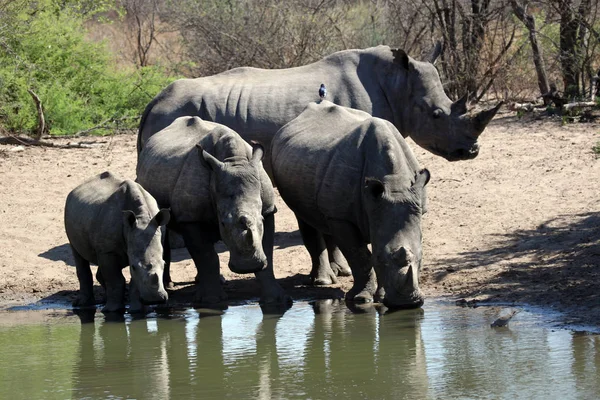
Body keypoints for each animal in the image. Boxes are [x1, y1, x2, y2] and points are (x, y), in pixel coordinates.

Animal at [64, 171, 170, 312]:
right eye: (134, 267)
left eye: (164, 264)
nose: (155, 300)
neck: (142, 219)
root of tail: (77, 188)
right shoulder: (108, 251)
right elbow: (115, 280)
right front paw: (112, 310)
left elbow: (133, 282)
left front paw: (137, 310)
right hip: (69, 211)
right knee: (77, 253)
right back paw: (82, 304)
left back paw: (105, 299)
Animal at [136, 116, 290, 306]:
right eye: (222, 224)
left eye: (260, 220)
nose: (248, 266)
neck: (234, 161)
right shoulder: (190, 217)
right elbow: (205, 255)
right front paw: (211, 301)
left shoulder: (268, 210)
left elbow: (267, 250)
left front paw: (276, 300)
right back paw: (170, 285)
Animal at [272, 101, 432, 308]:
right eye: (380, 258)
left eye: (421, 259)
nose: (407, 303)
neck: (395, 185)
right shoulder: (344, 218)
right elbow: (360, 256)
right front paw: (361, 299)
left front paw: (381, 297)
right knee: (305, 218)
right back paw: (323, 281)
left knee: (325, 219)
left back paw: (341, 273)